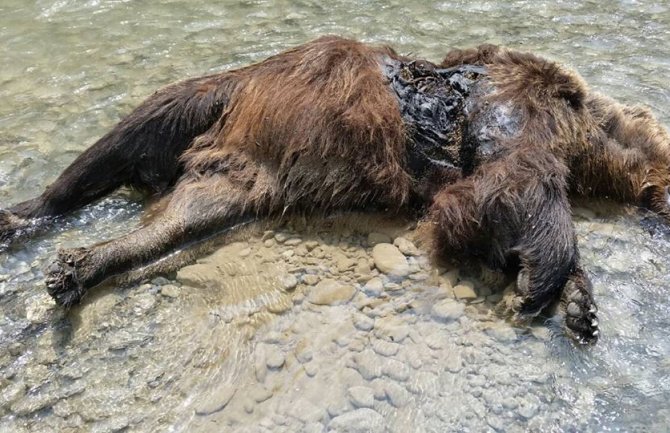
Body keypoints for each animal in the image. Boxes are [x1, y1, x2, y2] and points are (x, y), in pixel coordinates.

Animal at [1, 35, 670, 344]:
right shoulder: (515, 110)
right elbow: (511, 187)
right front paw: (544, 281)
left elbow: (490, 209)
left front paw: (579, 304)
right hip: (207, 95)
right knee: (114, 142)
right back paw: (27, 215)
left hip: (236, 175)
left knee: (179, 218)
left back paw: (79, 264)